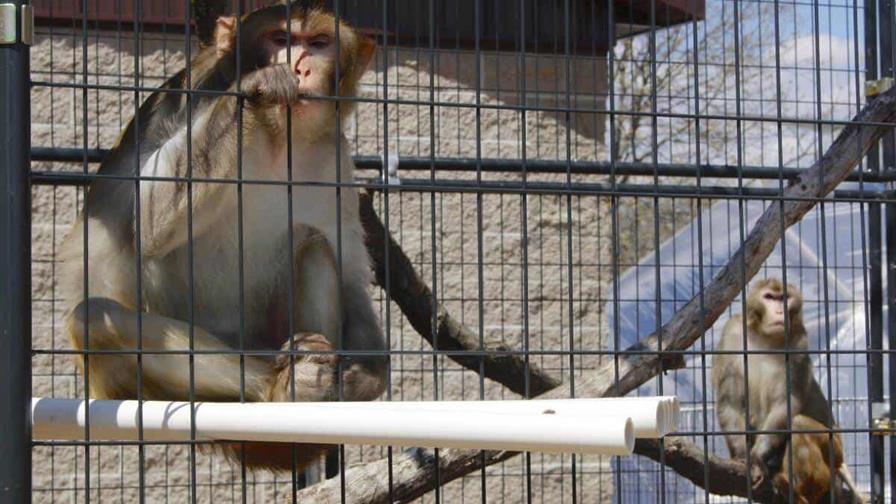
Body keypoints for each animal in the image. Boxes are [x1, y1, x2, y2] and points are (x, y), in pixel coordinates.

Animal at [58, 1, 386, 471]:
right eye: (281, 39)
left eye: (319, 43)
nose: (299, 67)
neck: (276, 137)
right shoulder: (187, 96)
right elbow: (148, 219)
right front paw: (259, 87)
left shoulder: (335, 156)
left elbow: (350, 270)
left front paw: (366, 377)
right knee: (95, 319)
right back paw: (280, 390)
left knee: (313, 245)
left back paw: (312, 389)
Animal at [712, 278, 863, 503]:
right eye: (769, 297)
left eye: (784, 298)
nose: (779, 311)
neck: (765, 336)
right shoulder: (732, 333)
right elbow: (731, 402)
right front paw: (742, 456)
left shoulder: (798, 341)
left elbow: (786, 403)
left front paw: (756, 458)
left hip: (834, 450)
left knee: (798, 424)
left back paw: (798, 489)